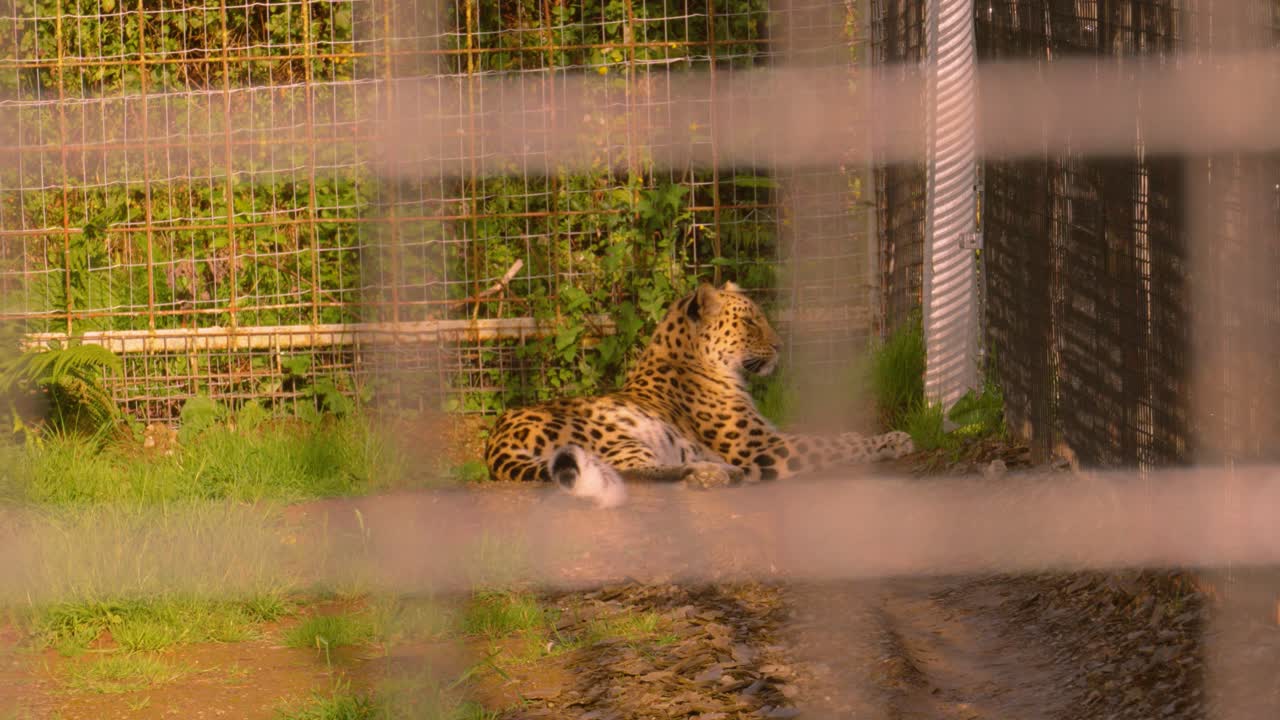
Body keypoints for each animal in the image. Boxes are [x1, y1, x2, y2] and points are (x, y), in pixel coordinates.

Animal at [483, 281, 915, 507]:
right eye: (749, 322)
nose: (779, 347)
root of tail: (496, 442)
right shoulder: (759, 446)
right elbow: (834, 442)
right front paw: (892, 440)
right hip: (617, 434)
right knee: (631, 475)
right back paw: (715, 473)